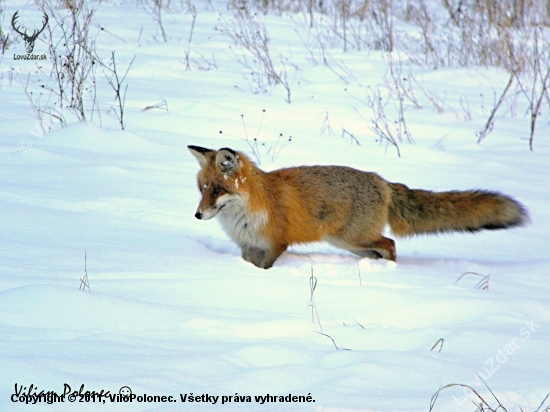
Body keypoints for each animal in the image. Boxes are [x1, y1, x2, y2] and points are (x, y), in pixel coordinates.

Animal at [190, 146, 532, 270]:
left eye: (218, 190)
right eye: (202, 189)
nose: (197, 214)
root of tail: (382, 181)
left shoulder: (275, 245)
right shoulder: (249, 247)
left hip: (354, 238)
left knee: (390, 243)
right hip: (350, 243)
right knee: (381, 248)